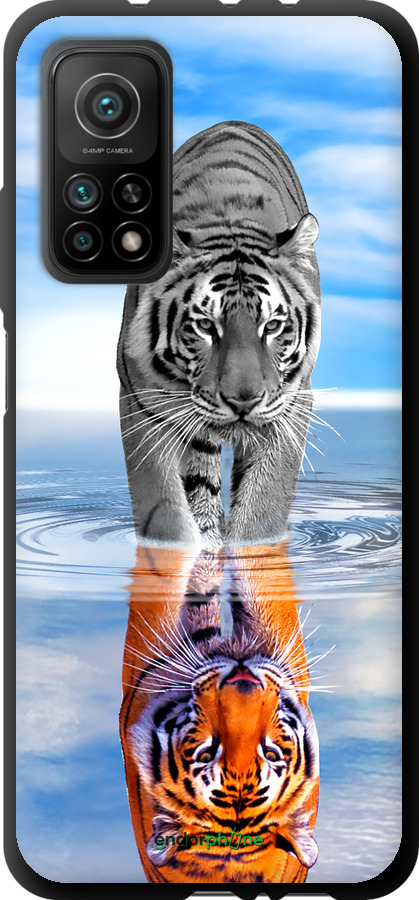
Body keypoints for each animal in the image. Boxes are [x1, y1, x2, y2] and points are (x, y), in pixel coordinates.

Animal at [117, 120, 321, 549]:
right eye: (206, 326)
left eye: (272, 326)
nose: (244, 401)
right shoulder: (141, 402)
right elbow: (165, 511)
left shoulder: (292, 404)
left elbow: (262, 509)